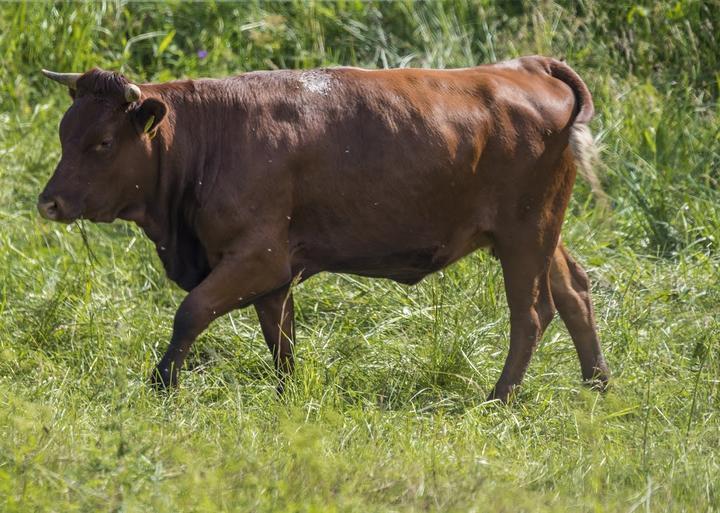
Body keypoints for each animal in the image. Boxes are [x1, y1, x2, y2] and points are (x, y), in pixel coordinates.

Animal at [39, 55, 612, 400]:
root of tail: (525, 66)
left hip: (525, 234)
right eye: (65, 134)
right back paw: (597, 385)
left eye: (103, 142)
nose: (49, 202)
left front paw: (161, 383)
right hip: (538, 236)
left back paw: (499, 398)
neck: (211, 138)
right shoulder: (275, 272)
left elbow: (191, 312)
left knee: (532, 314)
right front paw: (288, 393)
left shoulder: (257, 257)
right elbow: (280, 337)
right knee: (574, 291)